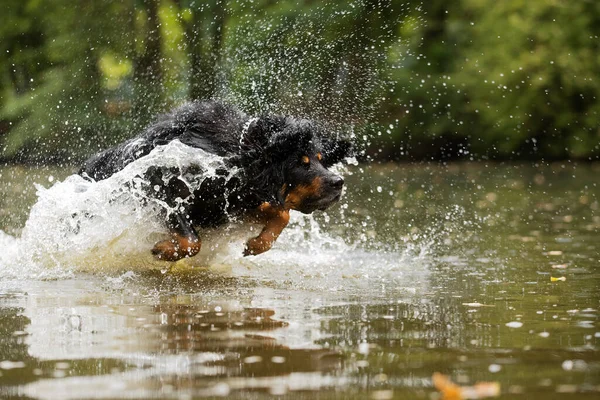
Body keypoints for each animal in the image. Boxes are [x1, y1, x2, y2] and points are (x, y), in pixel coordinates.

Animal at [80, 101, 352, 260]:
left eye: (320, 160)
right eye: (301, 164)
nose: (338, 182)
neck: (235, 157)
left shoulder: (233, 204)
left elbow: (281, 213)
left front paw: (257, 244)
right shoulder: (161, 183)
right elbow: (192, 240)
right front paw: (167, 250)